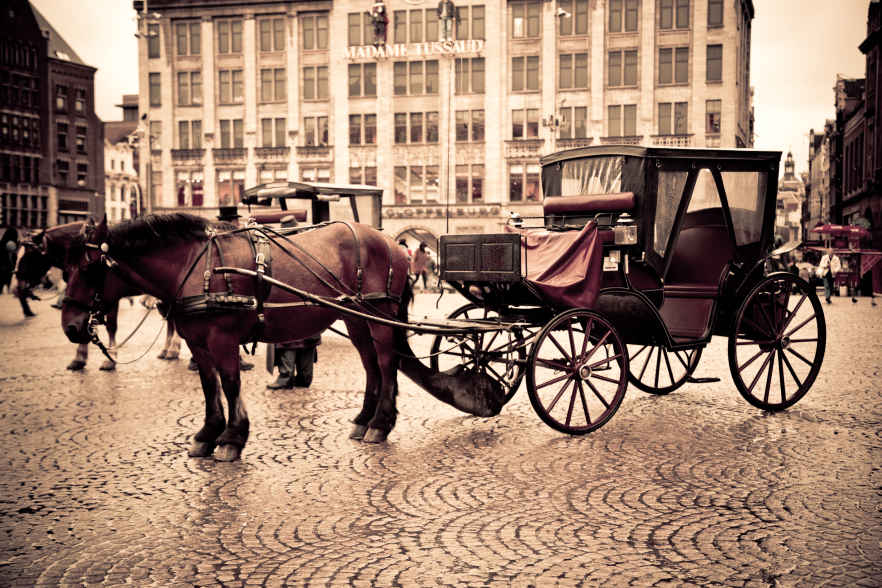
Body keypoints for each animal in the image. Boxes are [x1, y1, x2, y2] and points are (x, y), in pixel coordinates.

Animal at [17, 223, 180, 370]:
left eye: (29, 254)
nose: (16, 275)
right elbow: (88, 325)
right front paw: (80, 357)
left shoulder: (110, 299)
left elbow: (111, 326)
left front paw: (110, 357)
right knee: (171, 320)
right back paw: (168, 349)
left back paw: (173, 349)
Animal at [60, 214, 502, 462]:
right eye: (66, 267)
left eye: (89, 268)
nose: (69, 325)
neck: (196, 267)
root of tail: (392, 243)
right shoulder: (197, 342)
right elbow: (209, 387)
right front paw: (207, 434)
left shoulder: (222, 339)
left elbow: (231, 384)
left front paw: (233, 438)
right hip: (354, 318)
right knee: (371, 366)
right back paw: (364, 420)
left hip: (378, 317)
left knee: (387, 362)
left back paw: (381, 423)